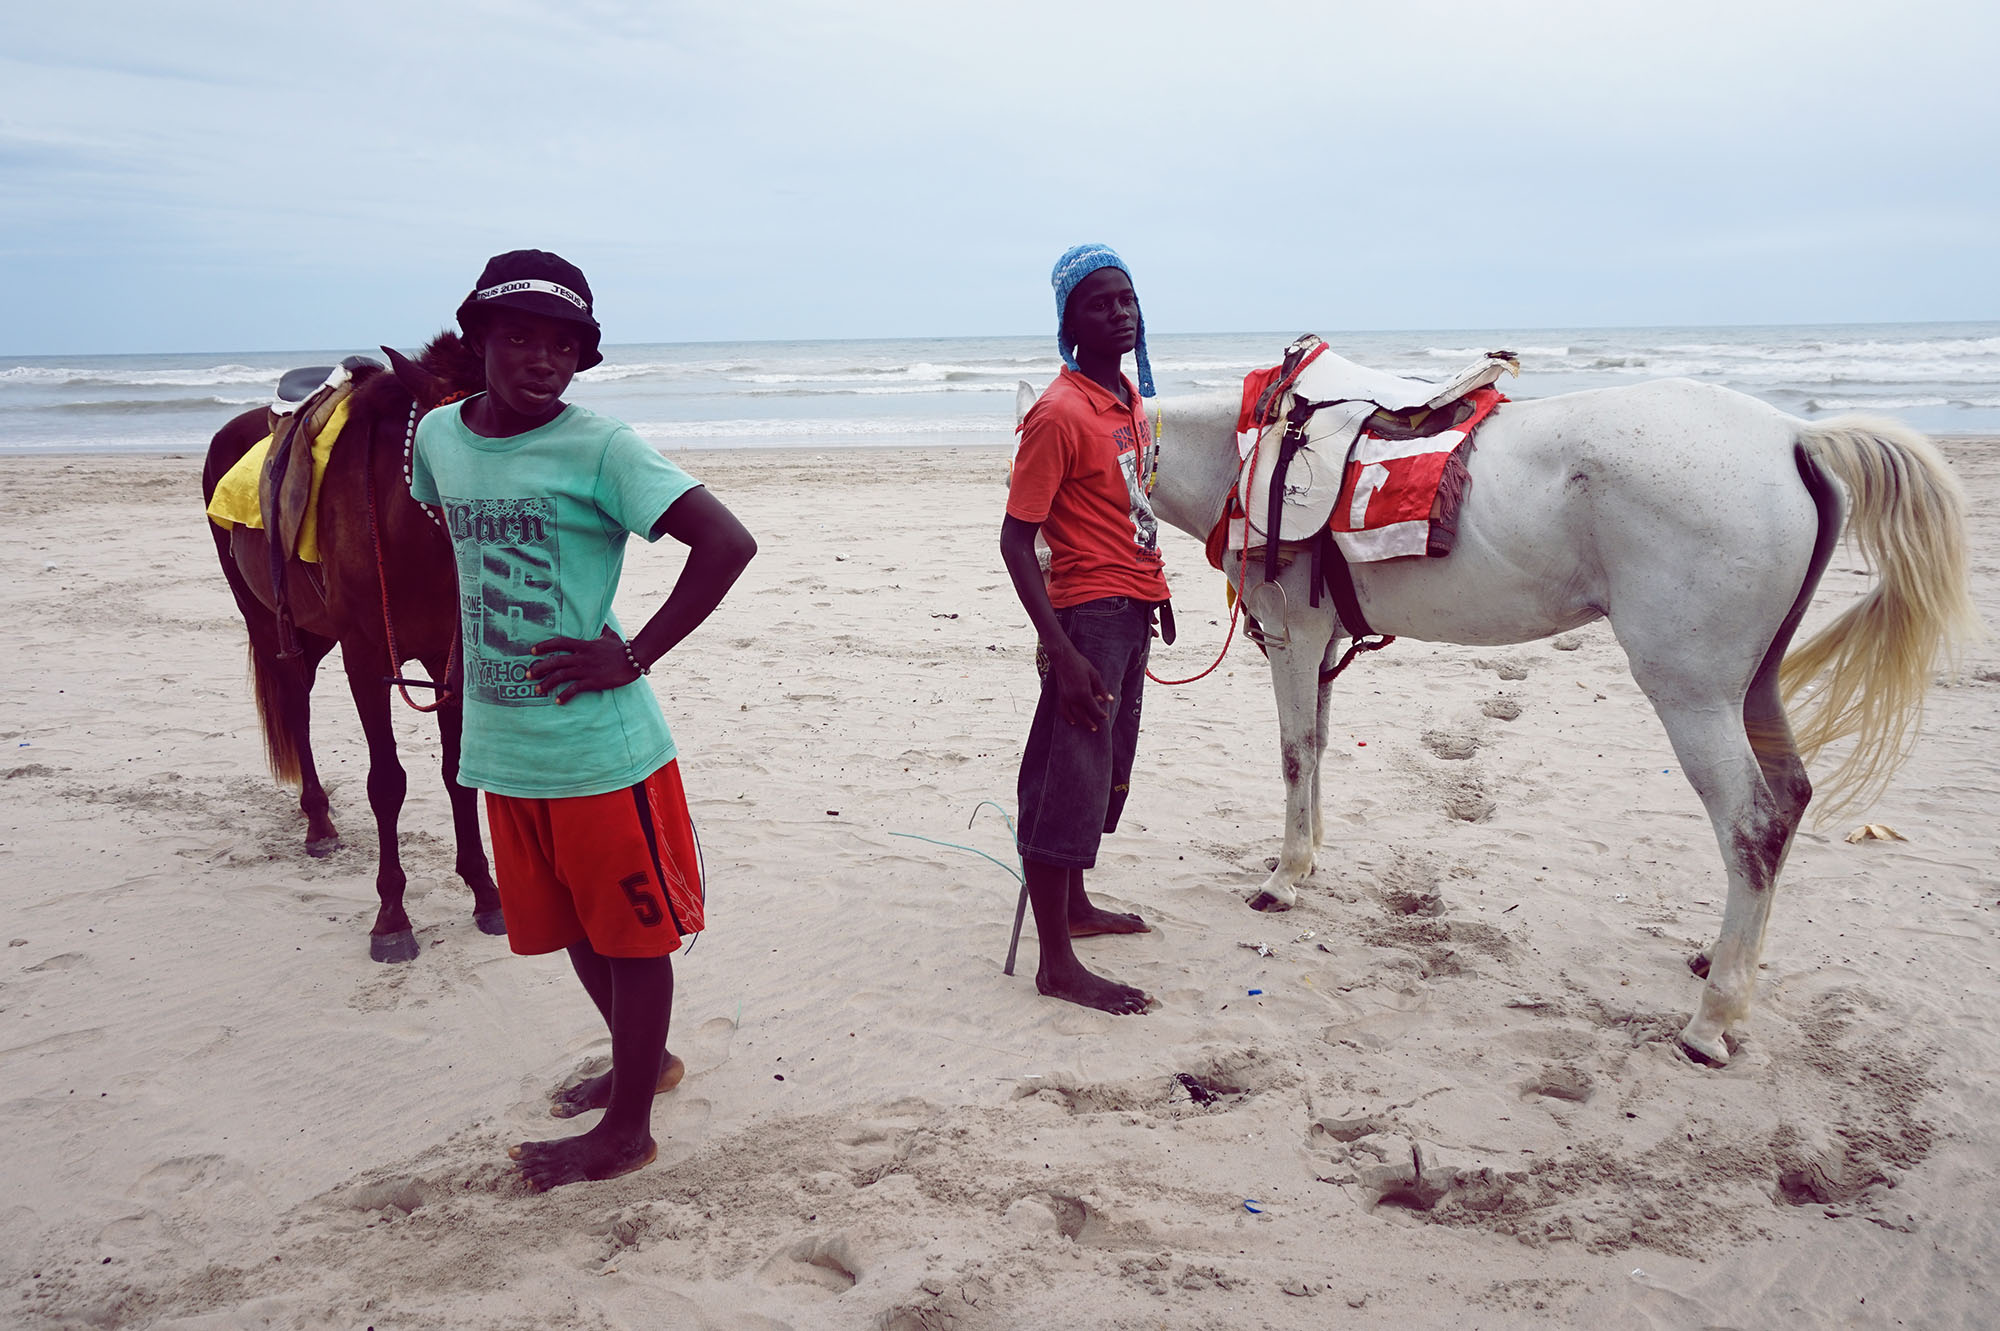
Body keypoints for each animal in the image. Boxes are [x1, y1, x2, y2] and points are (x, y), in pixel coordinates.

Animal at [201, 329, 508, 955]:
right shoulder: (365, 660)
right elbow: (386, 783)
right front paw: (392, 918)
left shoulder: (450, 661)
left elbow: (455, 772)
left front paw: (484, 893)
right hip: (268, 621)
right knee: (294, 707)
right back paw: (318, 824)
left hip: (317, 632)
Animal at [1024, 373, 1976, 1055]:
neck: (1253, 456)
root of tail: (1791, 437)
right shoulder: (1322, 645)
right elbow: (1320, 749)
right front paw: (1310, 858)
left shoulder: (1294, 636)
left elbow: (1295, 751)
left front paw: (1285, 877)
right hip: (1755, 682)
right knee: (1789, 799)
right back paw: (1728, 962)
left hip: (1694, 695)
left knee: (1753, 821)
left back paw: (1712, 1020)